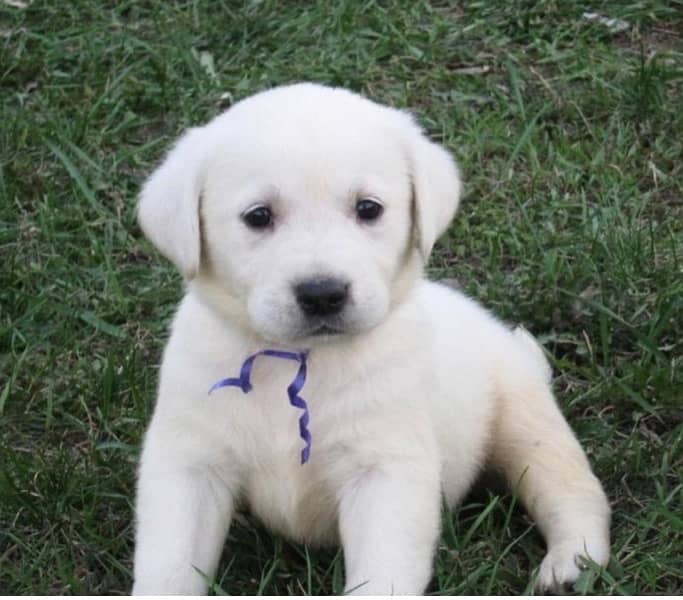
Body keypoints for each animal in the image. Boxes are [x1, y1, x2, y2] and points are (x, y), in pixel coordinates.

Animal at [132, 83, 608, 596]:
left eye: (368, 209)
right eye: (258, 217)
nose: (322, 293)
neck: (299, 361)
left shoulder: (386, 471)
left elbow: (383, 570)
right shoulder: (190, 462)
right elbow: (169, 565)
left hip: (525, 420)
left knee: (572, 489)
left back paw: (570, 563)